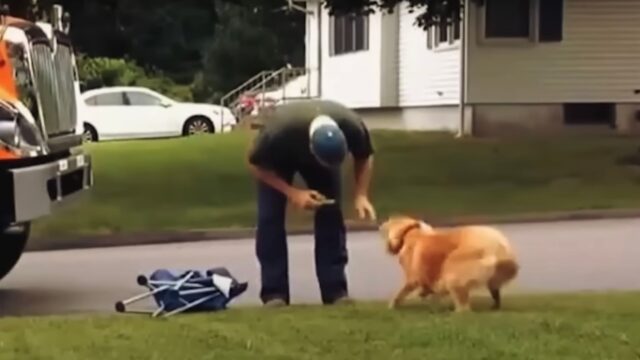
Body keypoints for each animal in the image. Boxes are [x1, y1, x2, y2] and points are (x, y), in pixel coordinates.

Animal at [380, 215, 520, 310]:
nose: (387, 249)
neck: (411, 234)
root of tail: (499, 246)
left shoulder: (412, 278)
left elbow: (402, 292)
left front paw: (392, 305)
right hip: (495, 277)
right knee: (495, 292)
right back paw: (494, 307)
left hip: (453, 271)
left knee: (464, 307)